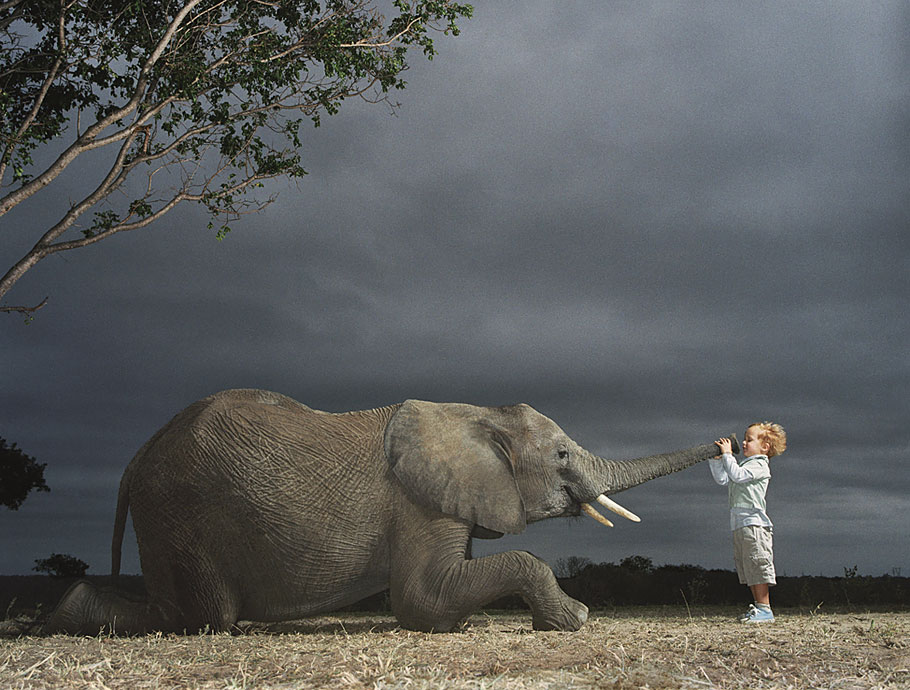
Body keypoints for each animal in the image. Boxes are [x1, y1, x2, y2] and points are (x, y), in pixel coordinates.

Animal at [45, 389, 738, 634]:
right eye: (562, 454)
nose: (733, 439)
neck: (475, 414)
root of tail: (138, 455)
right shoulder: (417, 500)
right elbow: (420, 600)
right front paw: (576, 619)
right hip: (180, 515)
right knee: (201, 616)